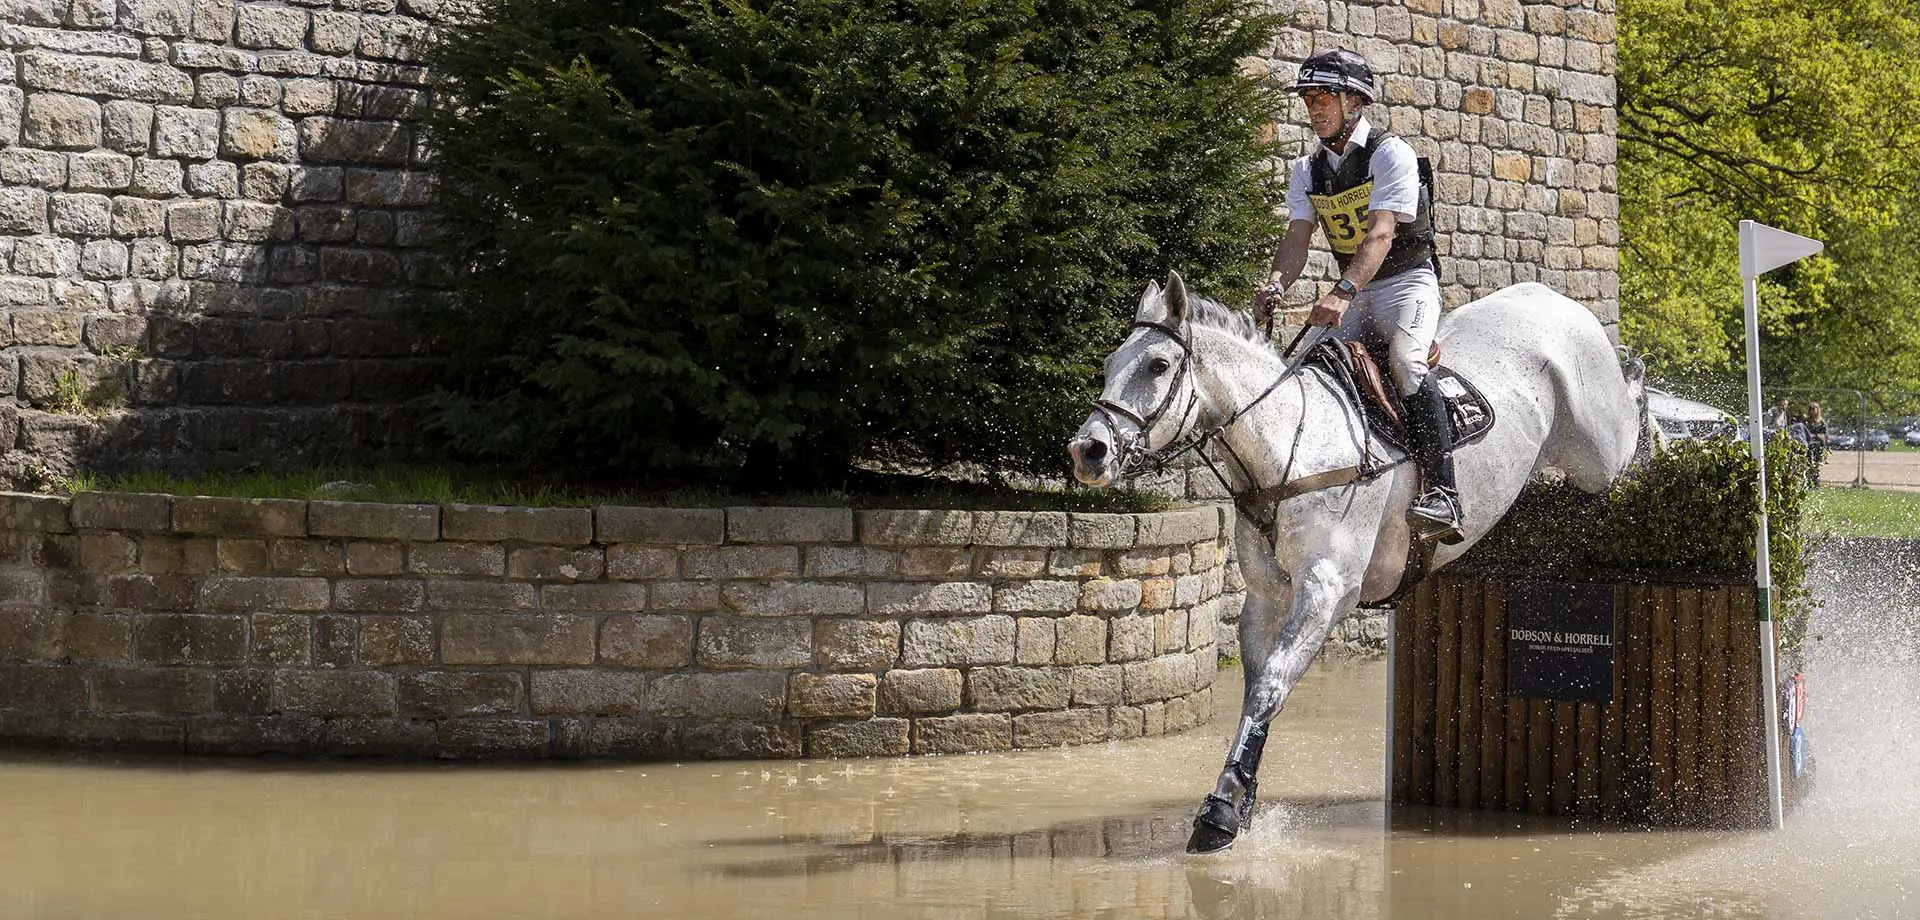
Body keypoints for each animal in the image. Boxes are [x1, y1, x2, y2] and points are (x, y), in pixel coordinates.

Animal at [1067, 272, 1648, 854]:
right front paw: (1242, 801)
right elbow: (1258, 689)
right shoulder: (1267, 596)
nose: (1087, 452)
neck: (1288, 446)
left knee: (1633, 422)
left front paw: (1220, 814)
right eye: (1110, 363)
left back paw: (1650, 402)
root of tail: (1553, 297)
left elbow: (1272, 685)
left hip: (1599, 452)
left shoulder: (1326, 592)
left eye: (1158, 365)